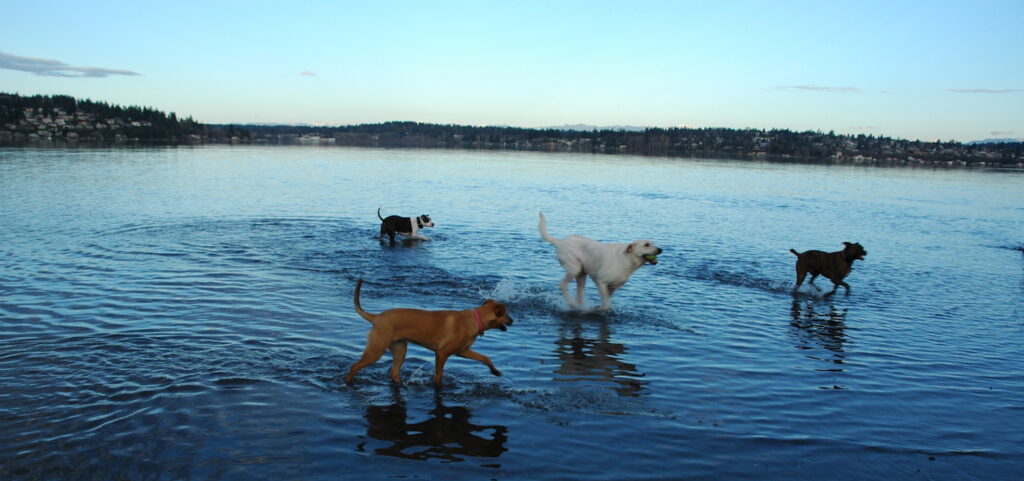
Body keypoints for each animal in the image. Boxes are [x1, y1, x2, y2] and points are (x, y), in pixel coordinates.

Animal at [348, 278, 516, 386]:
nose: (513, 321)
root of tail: (376, 317)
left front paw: (495, 371)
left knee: (393, 372)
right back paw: (348, 383)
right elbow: (438, 377)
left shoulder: (462, 351)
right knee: (354, 367)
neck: (476, 319)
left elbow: (485, 358)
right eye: (507, 314)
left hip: (400, 349)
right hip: (376, 350)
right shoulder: (442, 353)